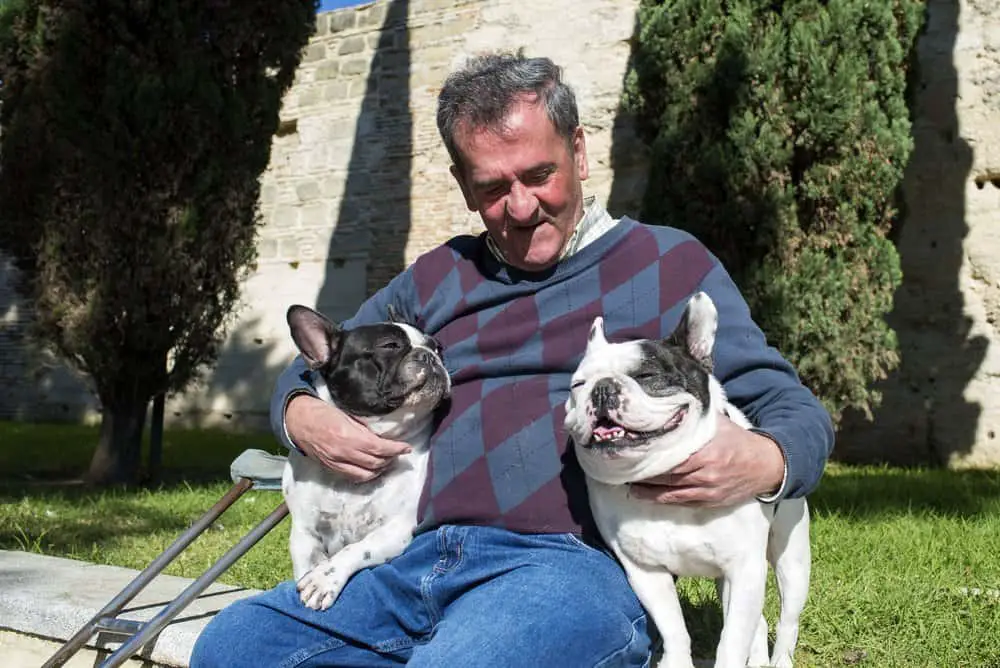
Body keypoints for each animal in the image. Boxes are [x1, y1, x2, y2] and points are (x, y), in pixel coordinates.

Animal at [284, 306, 452, 612]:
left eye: (437, 347)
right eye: (390, 346)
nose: (430, 356)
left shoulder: (395, 529)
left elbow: (358, 549)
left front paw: (325, 579)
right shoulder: (304, 533)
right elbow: (306, 565)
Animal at [564, 292, 812, 668]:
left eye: (647, 374)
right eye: (578, 386)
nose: (603, 388)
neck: (660, 474)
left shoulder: (745, 570)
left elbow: (731, 642)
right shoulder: (646, 572)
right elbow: (674, 629)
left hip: (791, 559)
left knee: (787, 621)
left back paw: (780, 660)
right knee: (758, 624)